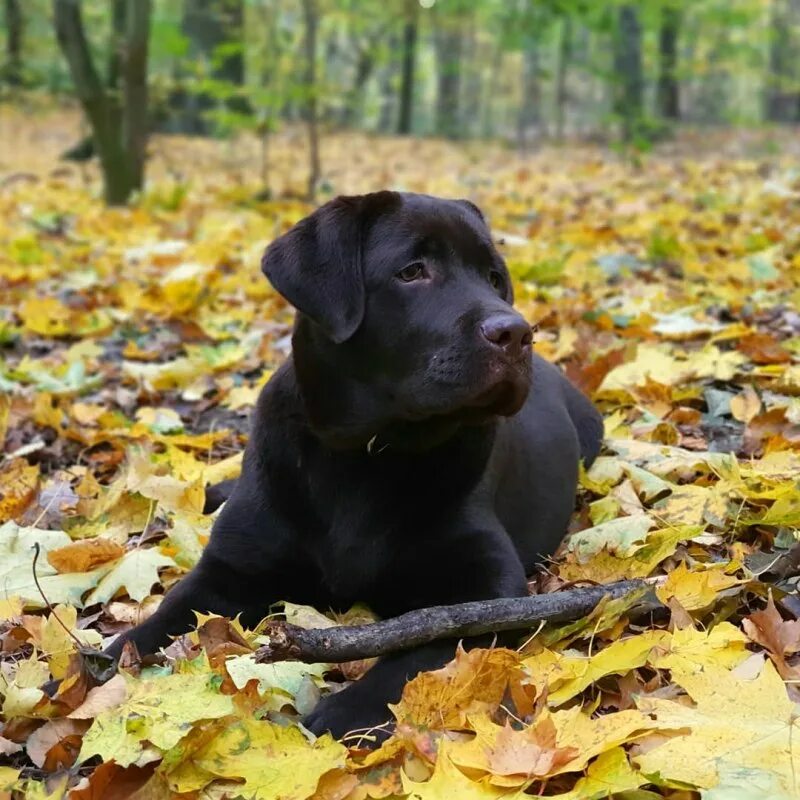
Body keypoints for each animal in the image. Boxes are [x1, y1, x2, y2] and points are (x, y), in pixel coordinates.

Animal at [109, 192, 604, 736]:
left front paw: (338, 714)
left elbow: (418, 657)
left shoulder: (489, 589)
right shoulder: (228, 569)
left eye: (495, 278)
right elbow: (151, 627)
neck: (367, 452)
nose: (516, 333)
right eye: (412, 271)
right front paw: (88, 671)